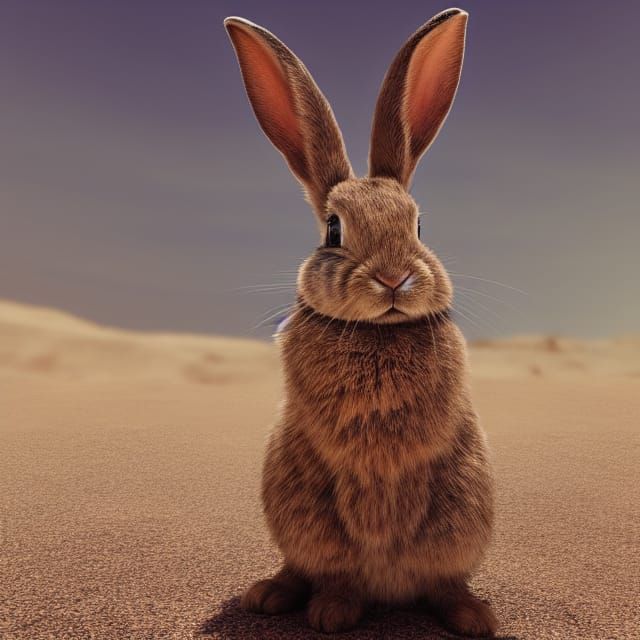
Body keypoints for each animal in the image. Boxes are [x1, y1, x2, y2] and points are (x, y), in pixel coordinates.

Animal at [225, 8, 498, 637]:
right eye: (332, 229)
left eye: (419, 226)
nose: (394, 280)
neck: (380, 331)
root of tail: (389, 591)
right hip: (300, 512)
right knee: (322, 571)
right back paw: (301, 603)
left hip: (461, 519)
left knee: (443, 581)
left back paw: (472, 616)